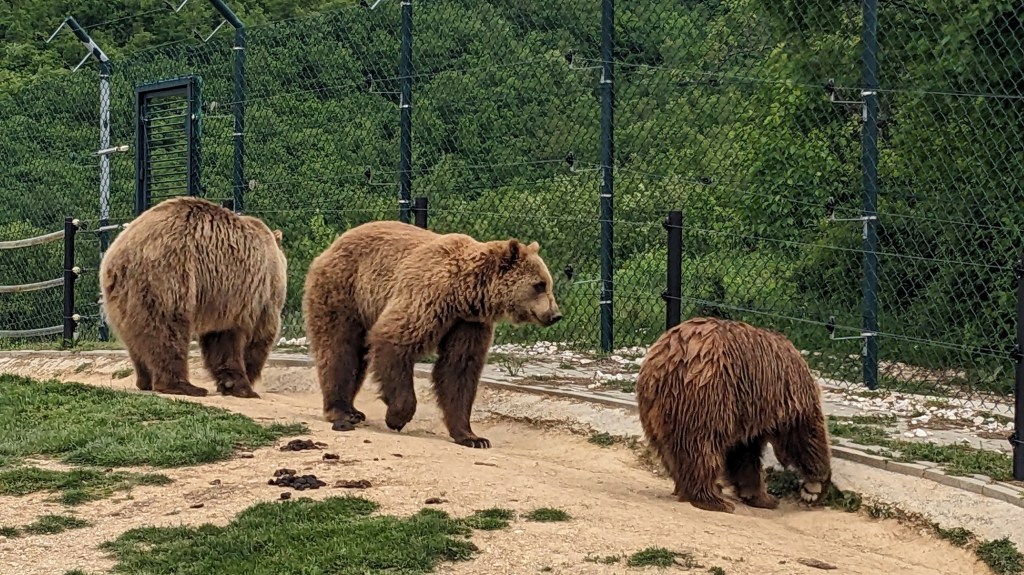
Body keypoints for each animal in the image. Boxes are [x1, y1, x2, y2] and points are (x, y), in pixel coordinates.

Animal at [99, 196, 288, 399]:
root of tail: (116, 258)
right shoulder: (259, 294)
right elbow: (257, 335)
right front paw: (246, 387)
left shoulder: (224, 299)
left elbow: (221, 339)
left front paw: (230, 383)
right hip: (168, 276)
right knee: (168, 331)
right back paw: (184, 385)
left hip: (125, 296)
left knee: (137, 338)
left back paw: (145, 380)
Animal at [302, 220, 562, 448]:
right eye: (539, 285)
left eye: (548, 283)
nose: (555, 315)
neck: (464, 294)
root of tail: (332, 246)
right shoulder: (427, 297)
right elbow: (394, 341)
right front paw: (397, 417)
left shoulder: (469, 324)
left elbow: (458, 370)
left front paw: (472, 437)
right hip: (344, 292)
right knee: (339, 349)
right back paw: (341, 412)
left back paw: (353, 410)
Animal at [634, 316, 832, 513]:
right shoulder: (784, 395)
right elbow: (802, 437)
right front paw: (814, 487)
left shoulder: (748, 408)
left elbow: (744, 453)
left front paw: (761, 497)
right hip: (706, 391)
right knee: (701, 445)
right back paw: (713, 499)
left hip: (656, 409)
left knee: (669, 448)